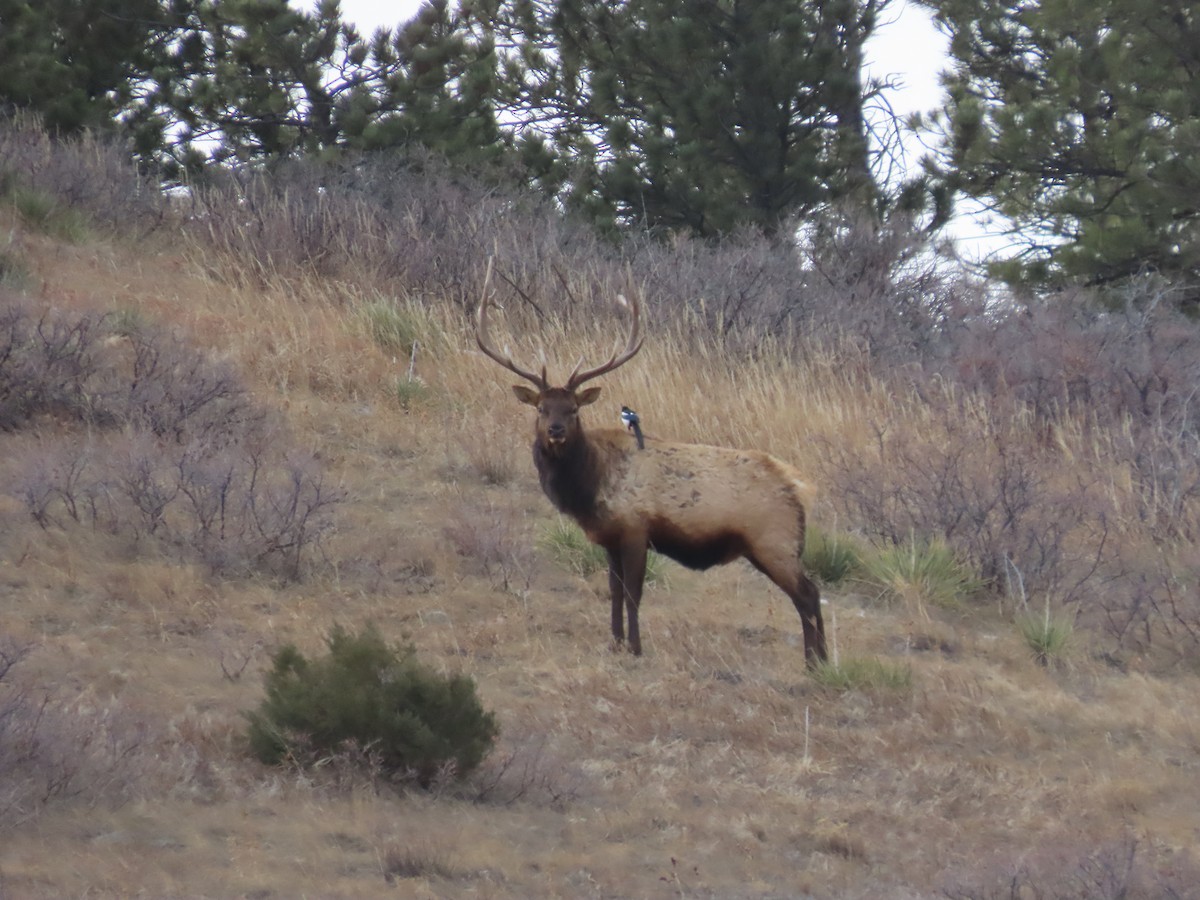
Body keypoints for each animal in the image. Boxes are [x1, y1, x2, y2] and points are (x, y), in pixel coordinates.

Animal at [472, 292, 830, 667]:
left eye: (573, 409)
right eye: (541, 408)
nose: (556, 431)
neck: (591, 486)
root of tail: (800, 488)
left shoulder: (635, 530)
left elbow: (633, 593)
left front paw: (635, 646)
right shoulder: (610, 538)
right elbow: (614, 591)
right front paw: (614, 641)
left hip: (774, 541)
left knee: (808, 593)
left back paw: (816, 662)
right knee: (809, 593)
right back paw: (819, 661)